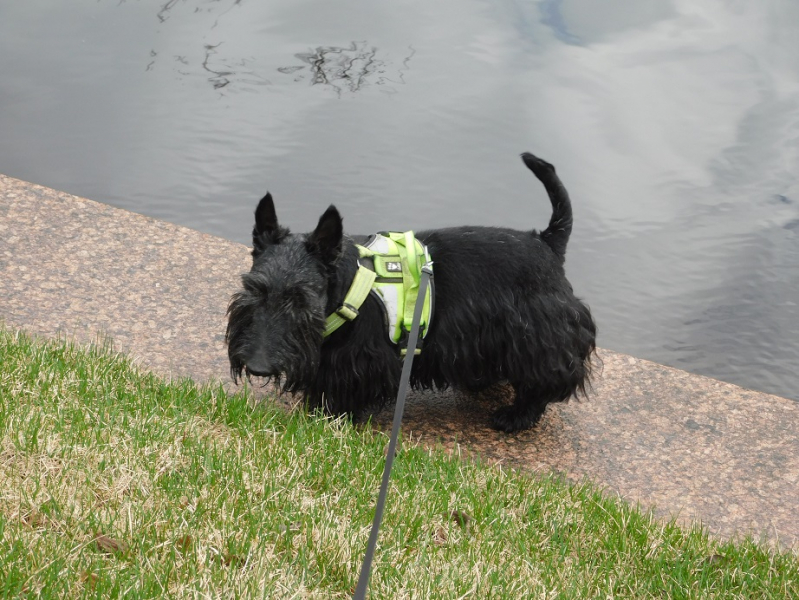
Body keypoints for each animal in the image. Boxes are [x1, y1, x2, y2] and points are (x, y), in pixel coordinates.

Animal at [228, 152, 596, 428]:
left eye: (300, 299)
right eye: (253, 290)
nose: (258, 365)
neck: (345, 287)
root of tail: (546, 242)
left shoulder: (363, 361)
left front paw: (333, 415)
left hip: (540, 340)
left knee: (546, 382)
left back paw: (515, 417)